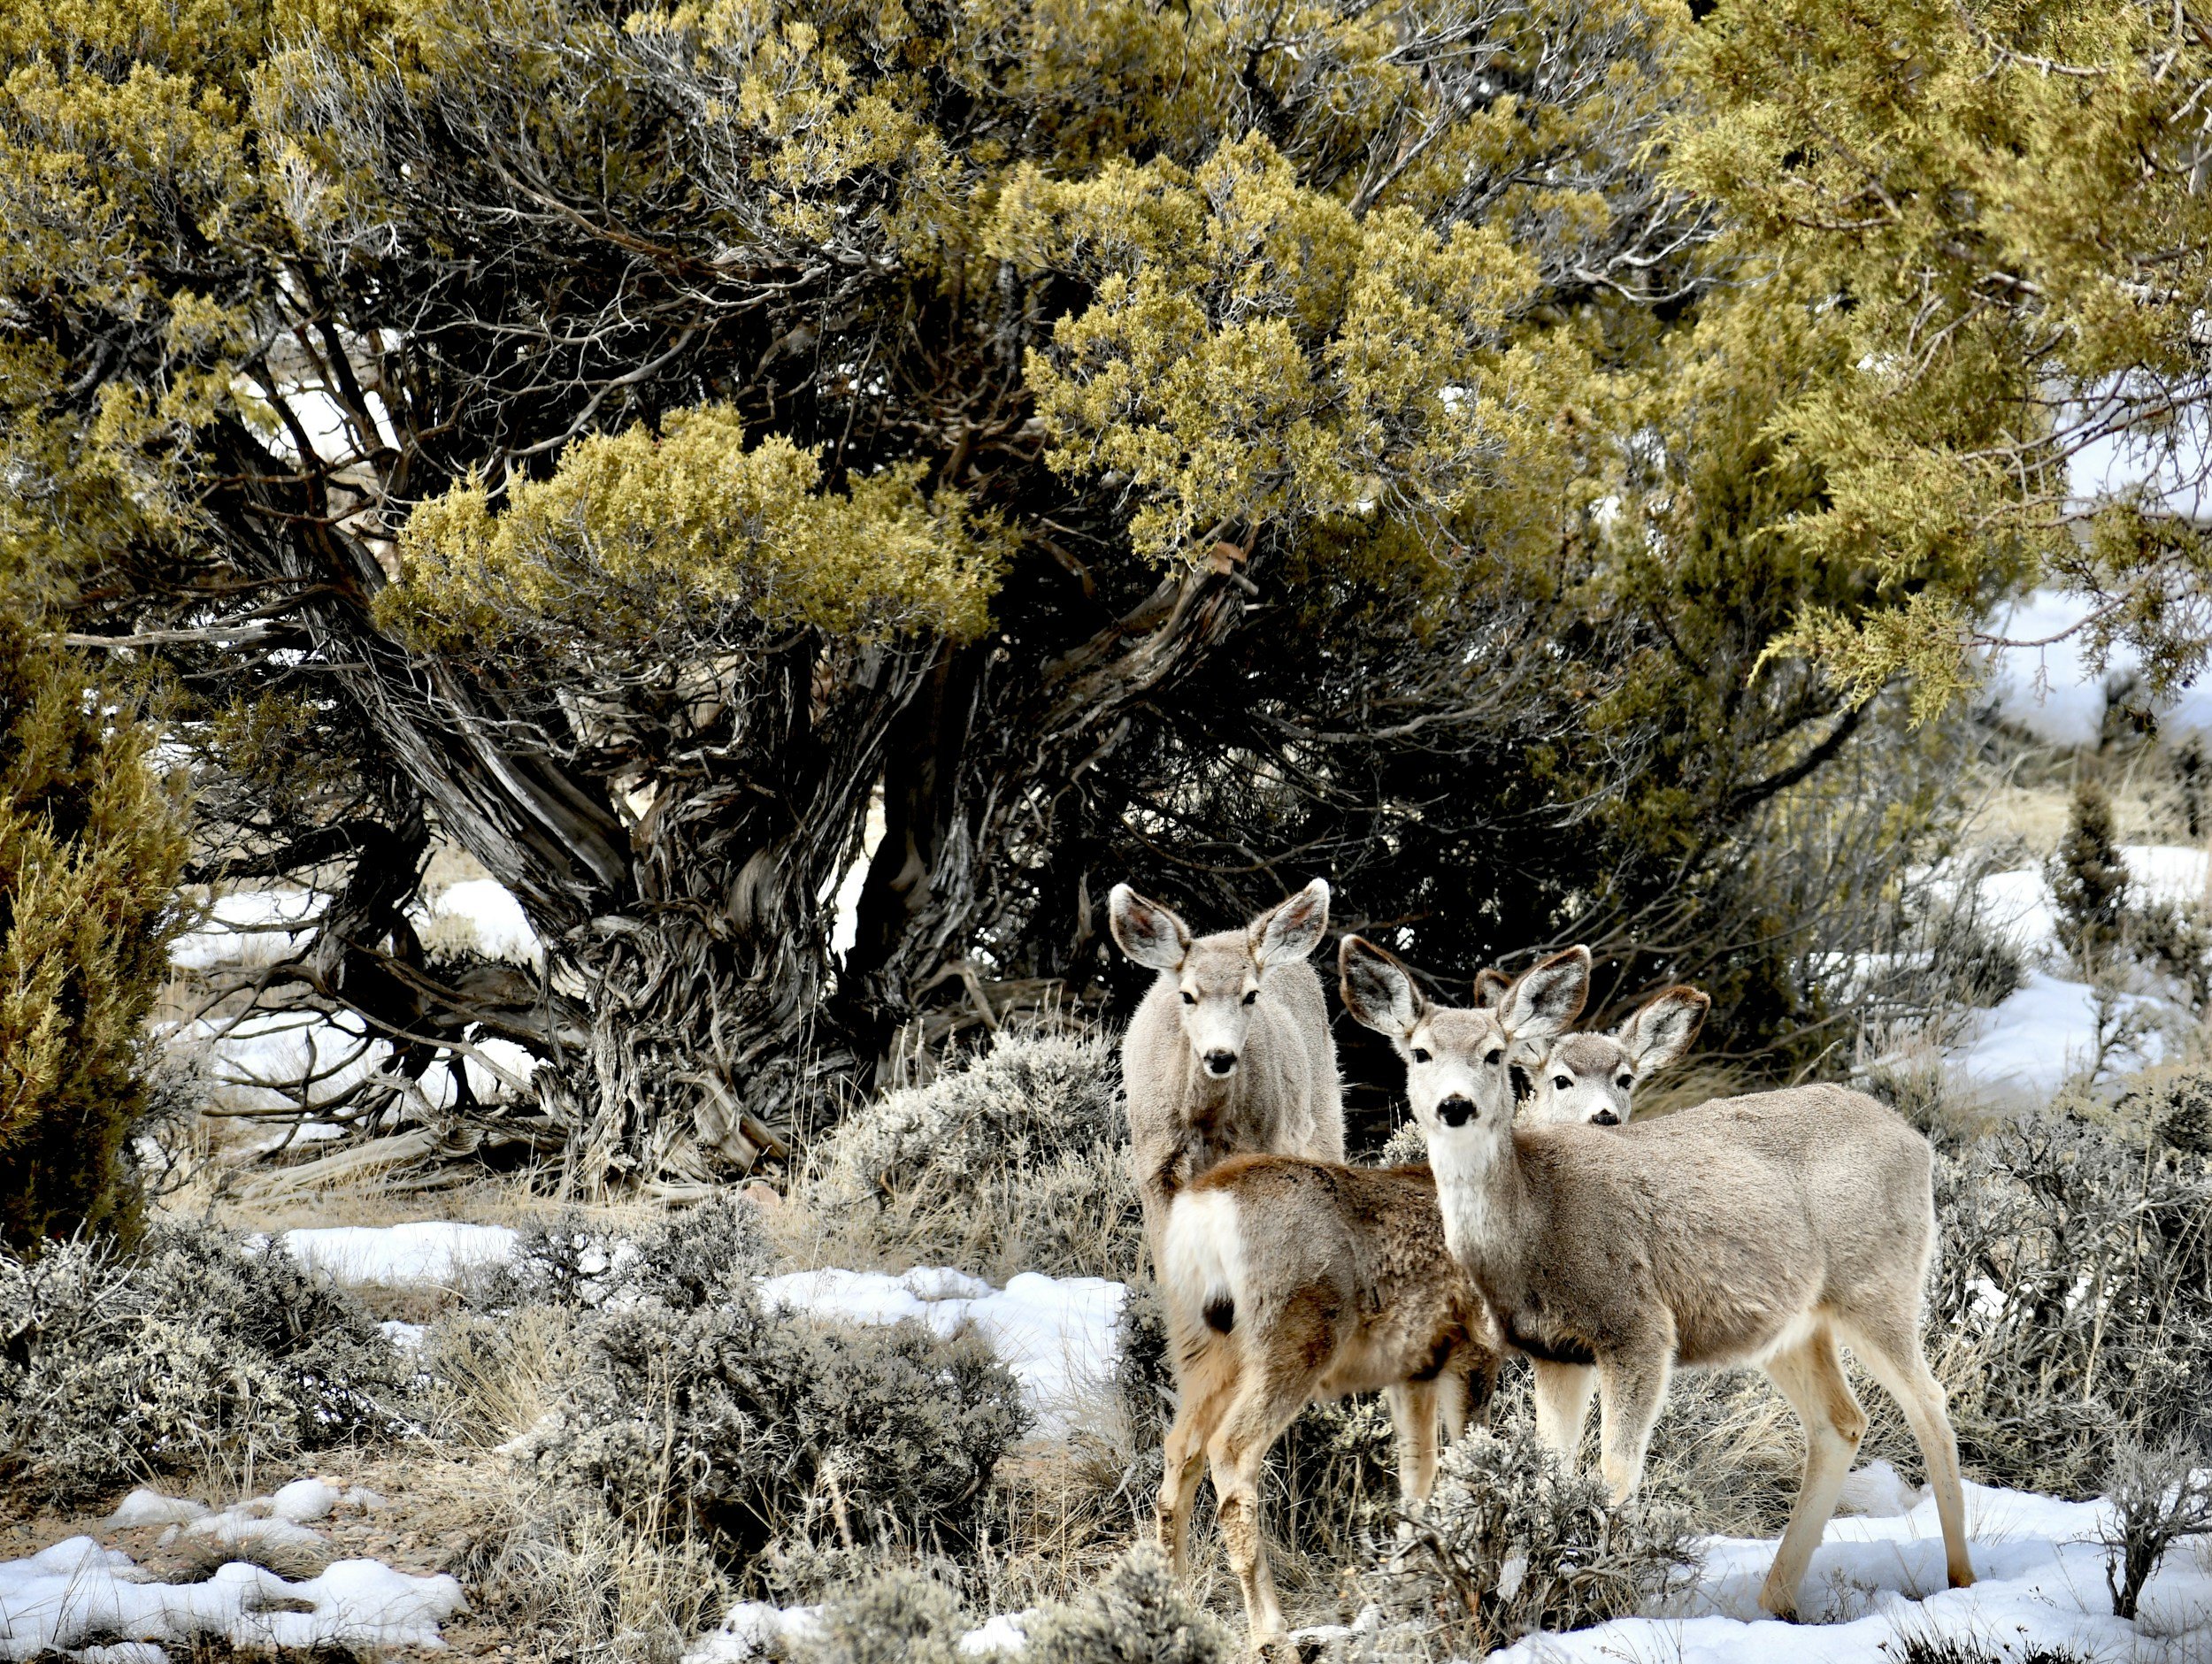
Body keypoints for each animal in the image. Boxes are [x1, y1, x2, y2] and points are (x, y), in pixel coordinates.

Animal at [1109, 880, 1344, 1263]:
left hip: (1323, 1114)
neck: (1204, 1122)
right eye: (1187, 995)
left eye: (1251, 995)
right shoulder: (1154, 1165)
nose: (1220, 1056)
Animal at [1339, 935, 1974, 1623]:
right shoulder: (1553, 1352)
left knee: (1929, 1403)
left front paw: (1603, 1592)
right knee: (1841, 1421)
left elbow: (1617, 1473)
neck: (1537, 1219)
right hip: (1791, 1328)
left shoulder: (1637, 1326)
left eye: (1494, 1053)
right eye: (1420, 1052)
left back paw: (1960, 1577)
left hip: (1877, 1282)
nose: (1456, 1105)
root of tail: (1916, 1138)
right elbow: (1549, 1470)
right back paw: (1772, 1600)